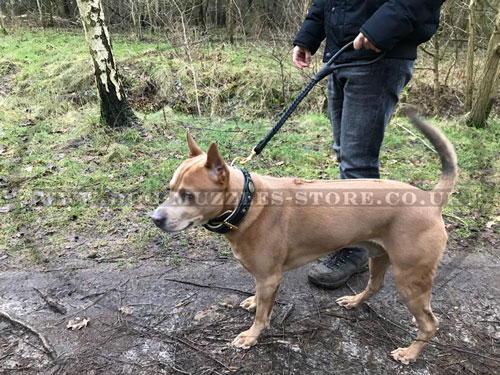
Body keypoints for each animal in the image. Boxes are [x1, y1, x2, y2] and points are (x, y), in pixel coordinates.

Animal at [151, 116, 458, 366]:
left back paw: (411, 352)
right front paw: (254, 302)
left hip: (409, 277)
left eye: (189, 195)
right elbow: (260, 299)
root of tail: (431, 199)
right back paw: (356, 301)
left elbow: (263, 316)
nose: (155, 218)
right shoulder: (264, 278)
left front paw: (252, 335)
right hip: (379, 256)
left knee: (429, 324)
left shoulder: (270, 277)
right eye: (170, 189)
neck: (247, 202)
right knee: (376, 285)